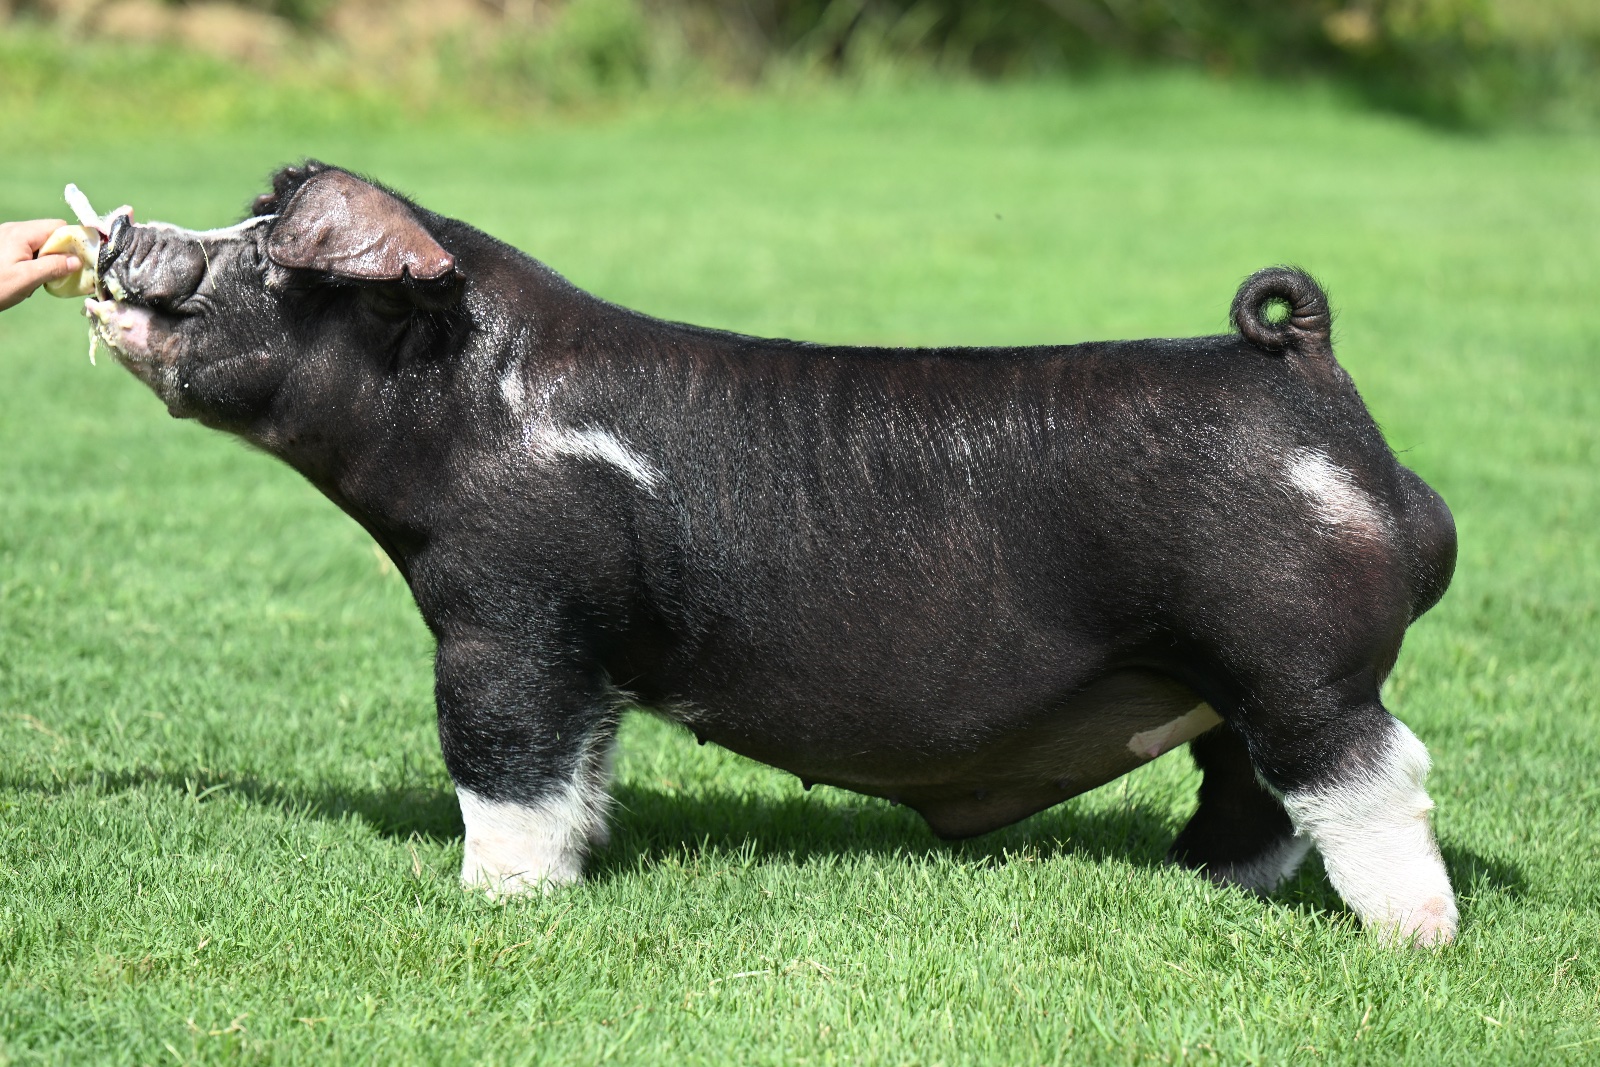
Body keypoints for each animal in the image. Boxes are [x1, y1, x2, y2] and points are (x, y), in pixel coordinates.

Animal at [80, 162, 1458, 944]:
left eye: (270, 251)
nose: (123, 235)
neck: (464, 410)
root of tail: (1306, 369)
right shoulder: (591, 657)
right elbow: (579, 770)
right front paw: (567, 874)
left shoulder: (509, 612)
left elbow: (500, 761)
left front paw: (494, 904)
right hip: (1229, 676)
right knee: (1254, 790)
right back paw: (1208, 888)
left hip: (1295, 654)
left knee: (1376, 773)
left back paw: (1411, 937)